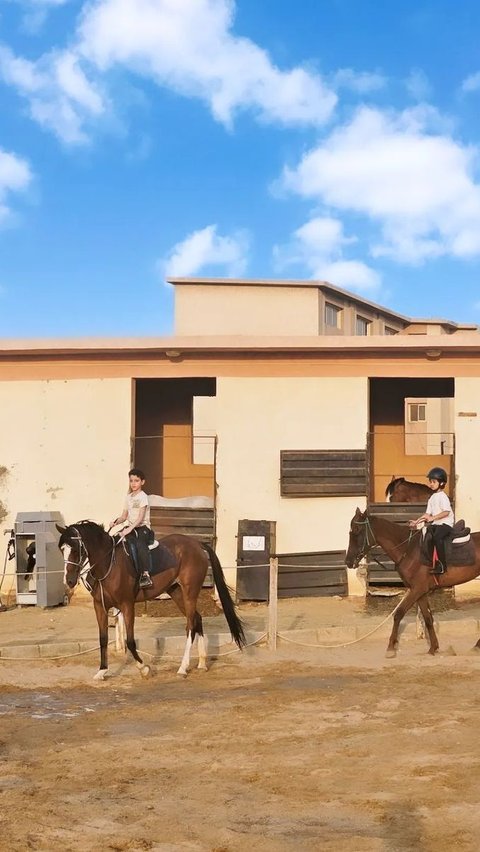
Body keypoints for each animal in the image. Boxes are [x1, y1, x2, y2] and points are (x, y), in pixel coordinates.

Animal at [56, 520, 246, 680]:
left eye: (75, 549)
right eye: (62, 549)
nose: (69, 581)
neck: (108, 564)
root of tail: (196, 543)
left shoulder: (127, 605)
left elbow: (130, 641)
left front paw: (144, 668)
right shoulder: (100, 606)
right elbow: (103, 639)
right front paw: (102, 671)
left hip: (190, 592)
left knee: (190, 625)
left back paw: (183, 668)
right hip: (176, 592)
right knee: (197, 619)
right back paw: (201, 663)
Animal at [344, 506, 480, 660]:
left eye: (357, 530)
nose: (348, 561)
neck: (408, 550)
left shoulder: (417, 589)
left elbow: (398, 614)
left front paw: (390, 648)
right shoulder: (419, 591)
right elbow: (428, 618)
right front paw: (433, 648)